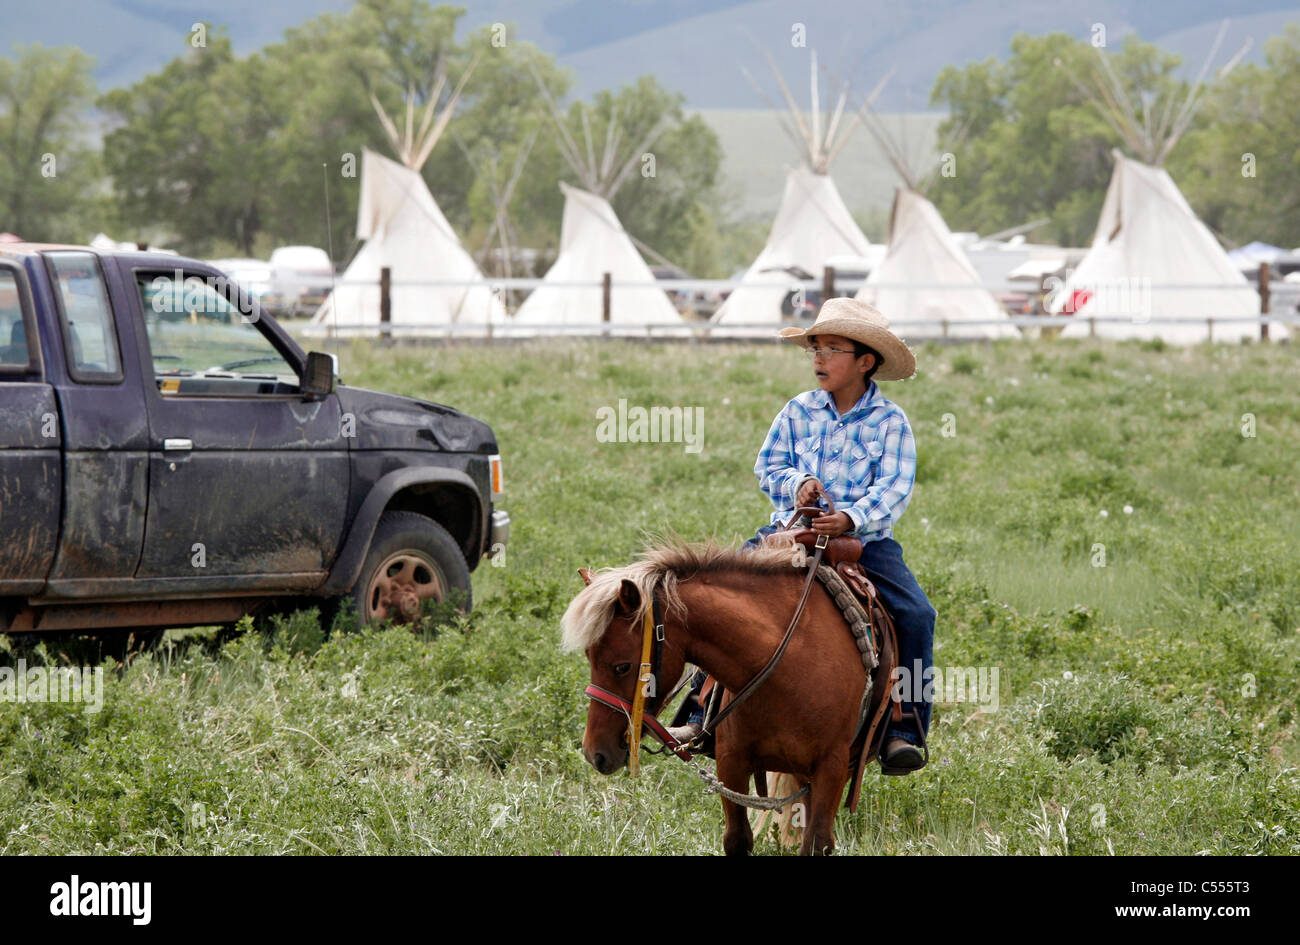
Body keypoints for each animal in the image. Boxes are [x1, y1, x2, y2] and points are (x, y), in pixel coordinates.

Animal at [564, 540, 868, 857]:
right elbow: (737, 838)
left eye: (622, 666)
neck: (791, 665)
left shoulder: (832, 766)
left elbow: (817, 841)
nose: (594, 753)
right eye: (588, 657)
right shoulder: (731, 760)